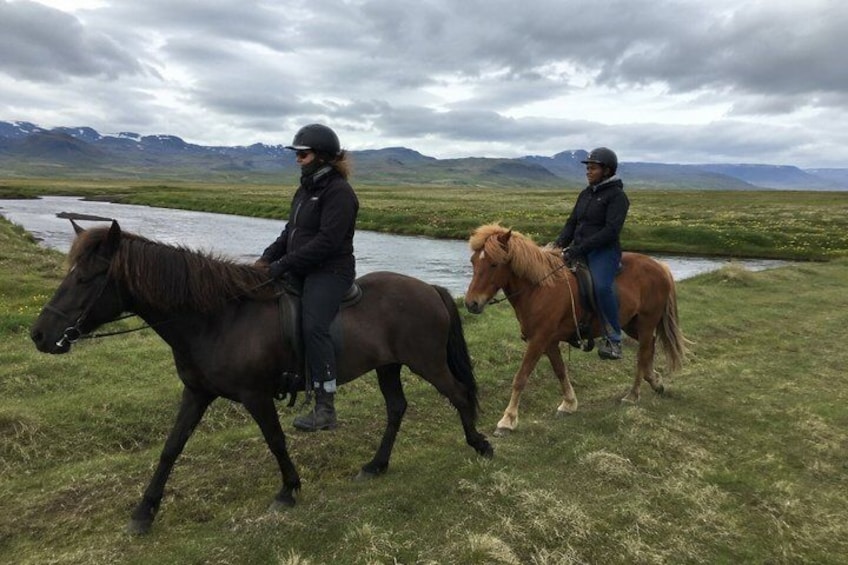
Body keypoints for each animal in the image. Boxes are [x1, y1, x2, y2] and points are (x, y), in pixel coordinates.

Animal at [30, 220, 493, 534]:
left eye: (85, 277)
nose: (39, 335)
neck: (218, 318)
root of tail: (429, 288)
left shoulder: (255, 395)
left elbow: (275, 440)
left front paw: (288, 491)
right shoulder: (196, 393)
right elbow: (171, 449)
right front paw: (144, 512)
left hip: (425, 362)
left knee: (458, 394)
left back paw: (480, 444)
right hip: (388, 366)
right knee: (397, 408)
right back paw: (376, 466)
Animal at [464, 223, 689, 436]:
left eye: (494, 264)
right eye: (473, 262)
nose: (471, 304)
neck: (539, 288)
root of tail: (660, 266)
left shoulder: (538, 339)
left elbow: (521, 377)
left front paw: (507, 420)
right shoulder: (549, 341)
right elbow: (560, 370)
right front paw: (569, 403)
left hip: (646, 322)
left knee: (642, 354)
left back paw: (633, 395)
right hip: (632, 324)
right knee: (649, 346)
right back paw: (655, 381)